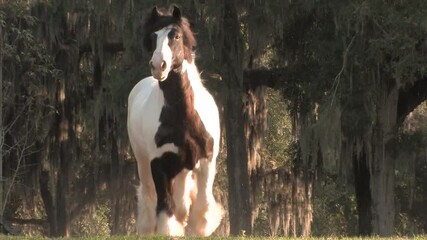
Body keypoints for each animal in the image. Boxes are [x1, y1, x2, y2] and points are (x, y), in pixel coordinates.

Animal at [127, 5, 224, 236]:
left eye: (176, 36)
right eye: (153, 37)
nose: (158, 66)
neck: (184, 118)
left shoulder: (206, 161)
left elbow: (202, 203)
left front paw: (200, 228)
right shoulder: (159, 163)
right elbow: (165, 205)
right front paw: (169, 230)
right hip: (144, 162)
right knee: (150, 196)